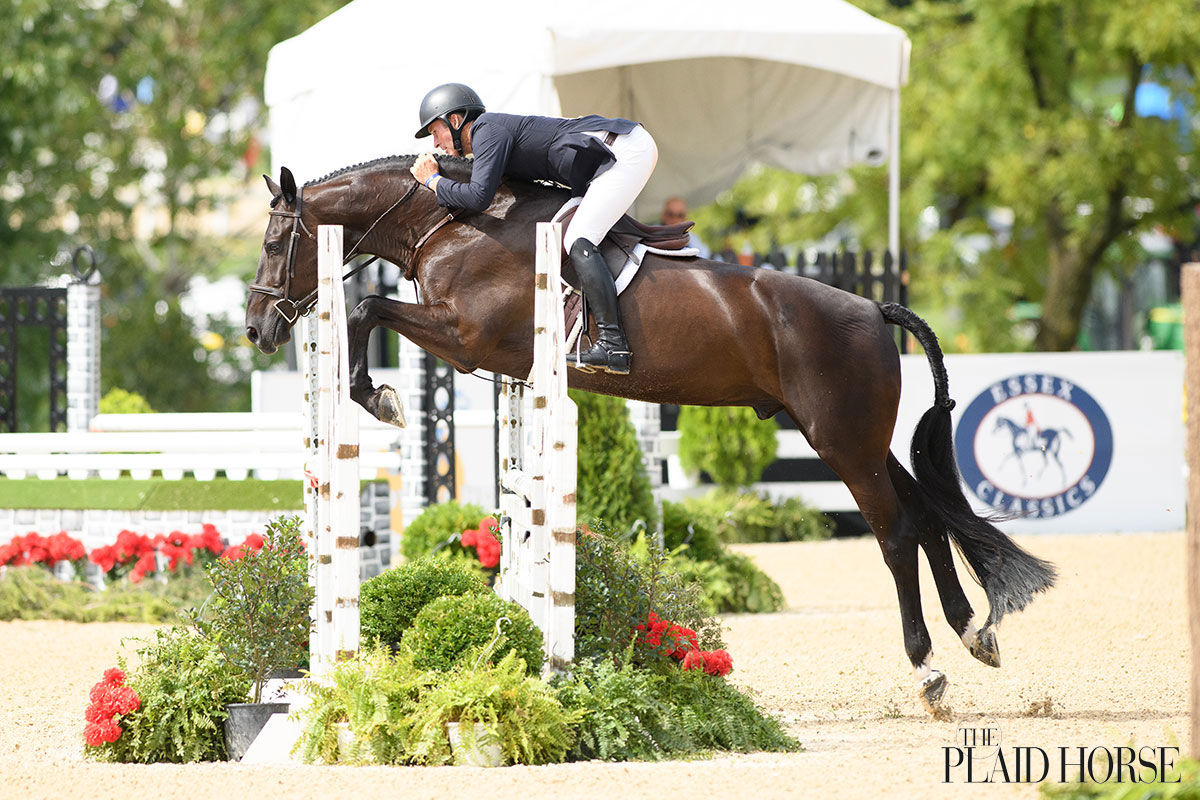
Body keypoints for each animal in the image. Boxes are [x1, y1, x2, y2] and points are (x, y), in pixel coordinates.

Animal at [245, 155, 1056, 715]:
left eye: (277, 241)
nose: (256, 329)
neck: (451, 224)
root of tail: (872, 308)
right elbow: (370, 313)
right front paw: (378, 395)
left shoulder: (468, 337)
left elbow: (366, 310)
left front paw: (376, 397)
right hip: (856, 435)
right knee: (925, 514)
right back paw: (973, 635)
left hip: (842, 441)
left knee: (894, 531)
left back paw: (929, 669)